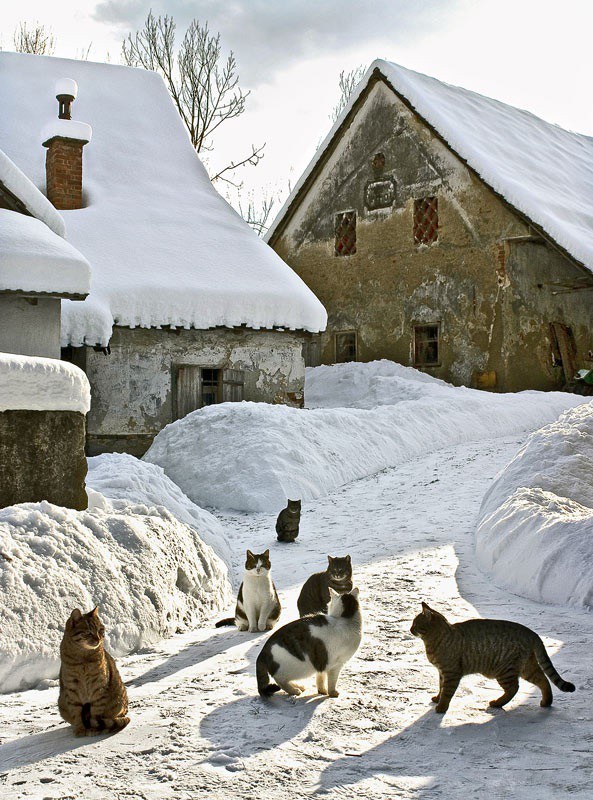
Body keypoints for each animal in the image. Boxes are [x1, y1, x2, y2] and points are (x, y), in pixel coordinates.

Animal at [58, 608, 129, 736]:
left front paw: (94, 728)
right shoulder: (72, 689)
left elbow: (96, 712)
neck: (83, 658)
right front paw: (80, 729)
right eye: (88, 632)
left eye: (100, 630)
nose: (99, 638)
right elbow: (76, 713)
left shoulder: (98, 687)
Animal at [412, 600, 572, 712]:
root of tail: (532, 633)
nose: (410, 629)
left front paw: (441, 707)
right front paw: (437, 699)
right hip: (526, 667)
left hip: (504, 670)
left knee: (514, 688)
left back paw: (497, 703)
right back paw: (546, 702)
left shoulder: (451, 672)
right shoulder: (442, 672)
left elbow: (446, 692)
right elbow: (441, 687)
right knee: (543, 679)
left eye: (415, 623)